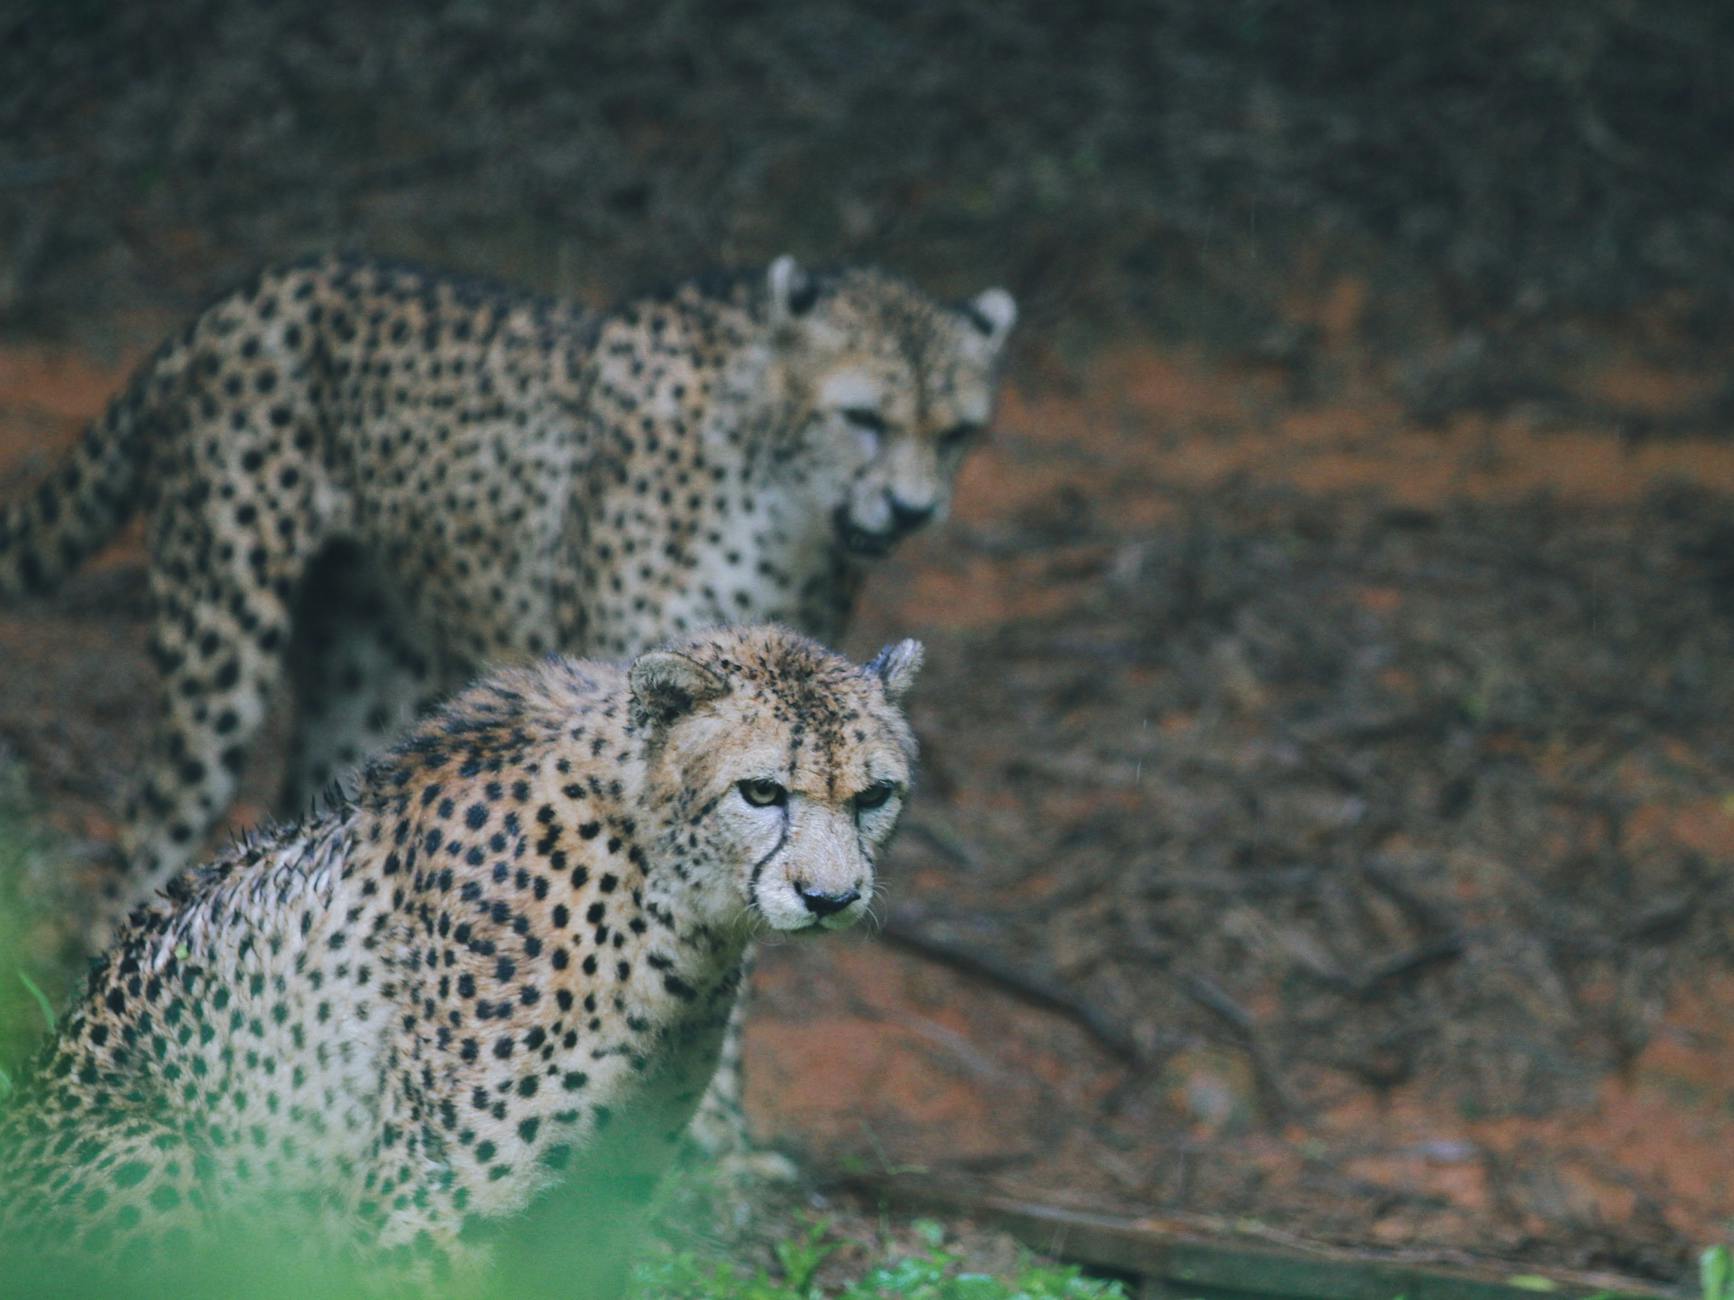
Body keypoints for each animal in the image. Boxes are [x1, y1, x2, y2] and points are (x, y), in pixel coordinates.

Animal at [0, 624, 924, 1296]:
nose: (831, 898)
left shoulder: (599, 1208)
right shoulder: (425, 1215)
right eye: (761, 791)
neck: (661, 896)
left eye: (874, 796)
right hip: (158, 1158)